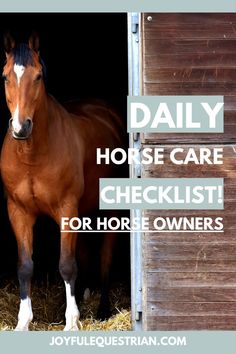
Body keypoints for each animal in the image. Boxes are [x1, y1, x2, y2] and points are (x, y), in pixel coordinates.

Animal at [0, 33, 123, 330]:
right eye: (5, 76)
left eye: (38, 76)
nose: (21, 127)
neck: (32, 155)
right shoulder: (18, 211)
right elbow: (25, 266)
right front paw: (23, 322)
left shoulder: (67, 210)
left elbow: (66, 264)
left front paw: (71, 322)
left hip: (110, 214)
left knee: (105, 260)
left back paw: (102, 309)